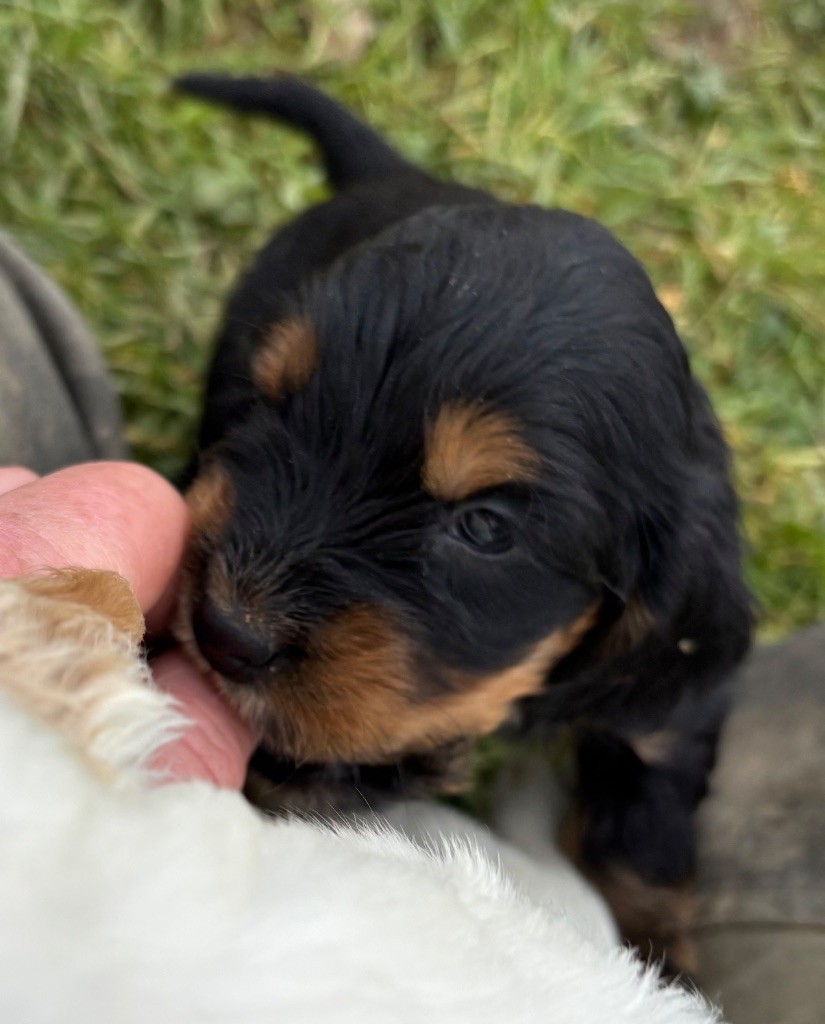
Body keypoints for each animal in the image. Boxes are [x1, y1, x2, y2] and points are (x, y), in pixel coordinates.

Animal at [174, 74, 757, 974]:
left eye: (484, 529)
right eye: (269, 406)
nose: (223, 631)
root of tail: (396, 173)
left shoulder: (670, 697)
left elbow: (645, 835)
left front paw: (660, 961)